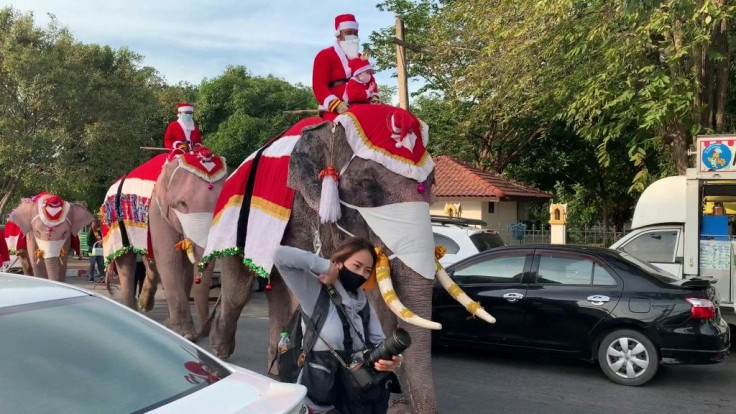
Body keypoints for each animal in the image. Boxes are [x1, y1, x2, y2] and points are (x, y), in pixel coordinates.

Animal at [102, 147, 226, 342]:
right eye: (182, 204)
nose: (203, 334)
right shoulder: (157, 212)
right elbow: (169, 261)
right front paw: (186, 334)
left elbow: (185, 267)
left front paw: (172, 327)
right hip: (115, 224)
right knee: (126, 264)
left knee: (150, 262)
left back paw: (145, 304)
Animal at [203, 106, 494, 414]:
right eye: (367, 186)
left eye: (431, 186)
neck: (330, 131)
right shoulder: (301, 211)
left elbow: (377, 299)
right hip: (230, 220)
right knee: (240, 289)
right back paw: (222, 352)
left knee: (276, 290)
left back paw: (274, 373)